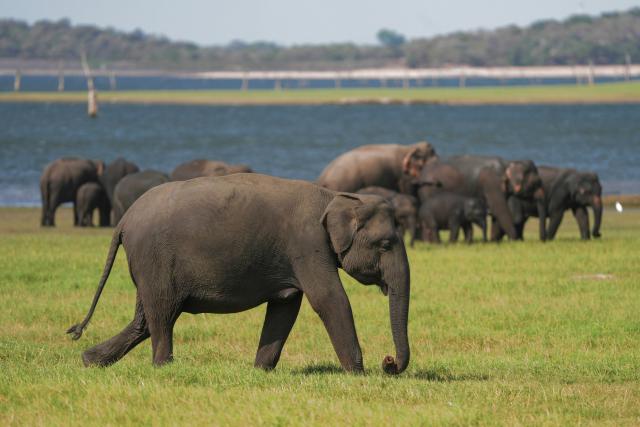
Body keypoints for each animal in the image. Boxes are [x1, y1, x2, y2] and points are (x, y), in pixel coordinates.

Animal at [67, 174, 411, 375]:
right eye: (386, 243)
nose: (388, 363)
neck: (334, 195)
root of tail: (123, 221)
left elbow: (286, 306)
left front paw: (260, 372)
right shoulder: (307, 244)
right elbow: (330, 300)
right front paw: (357, 375)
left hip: (149, 265)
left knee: (145, 319)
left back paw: (90, 360)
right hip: (155, 260)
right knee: (162, 315)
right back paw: (163, 368)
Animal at [417, 155, 546, 241]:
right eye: (535, 183)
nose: (543, 241)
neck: (509, 163)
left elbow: (497, 214)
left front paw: (494, 241)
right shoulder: (492, 183)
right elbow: (500, 210)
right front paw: (514, 240)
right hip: (429, 191)